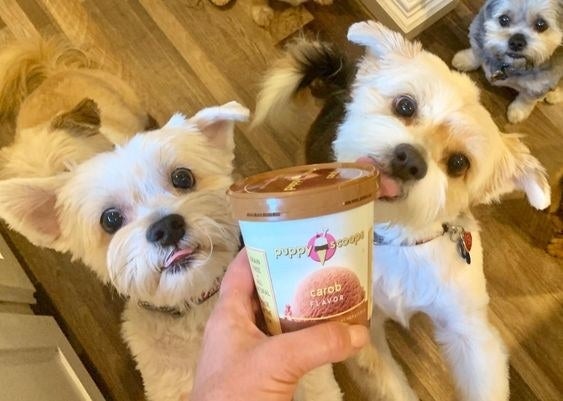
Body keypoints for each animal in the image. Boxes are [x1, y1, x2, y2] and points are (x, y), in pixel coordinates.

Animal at [254, 20, 552, 400]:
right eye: (406, 106)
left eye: (459, 163)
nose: (409, 160)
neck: (398, 237)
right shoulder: (363, 330)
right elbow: (388, 383)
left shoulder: (470, 332)